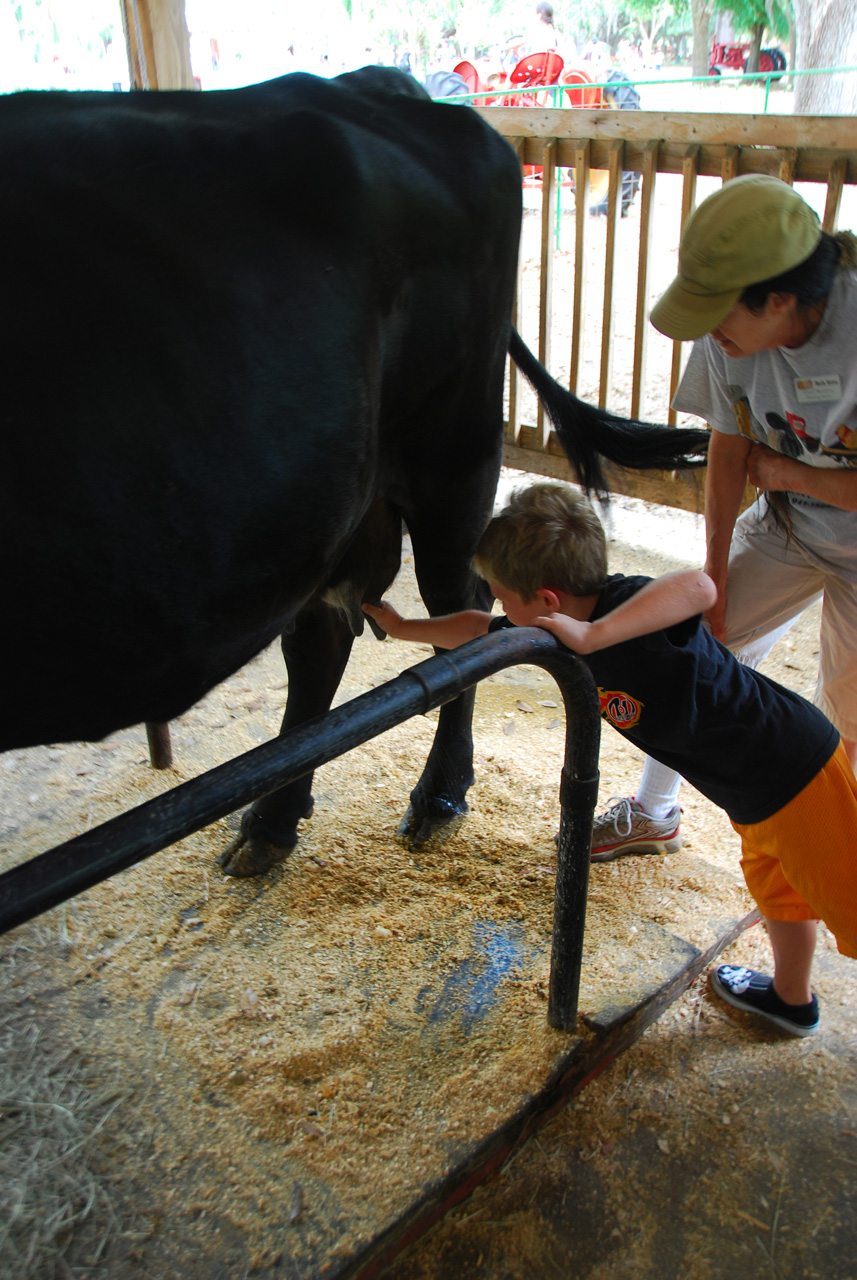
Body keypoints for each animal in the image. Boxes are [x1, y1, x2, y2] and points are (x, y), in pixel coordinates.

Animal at [3, 70, 706, 880]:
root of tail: (378, 84)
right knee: (324, 636)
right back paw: (272, 820)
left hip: (452, 459)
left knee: (460, 610)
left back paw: (435, 794)